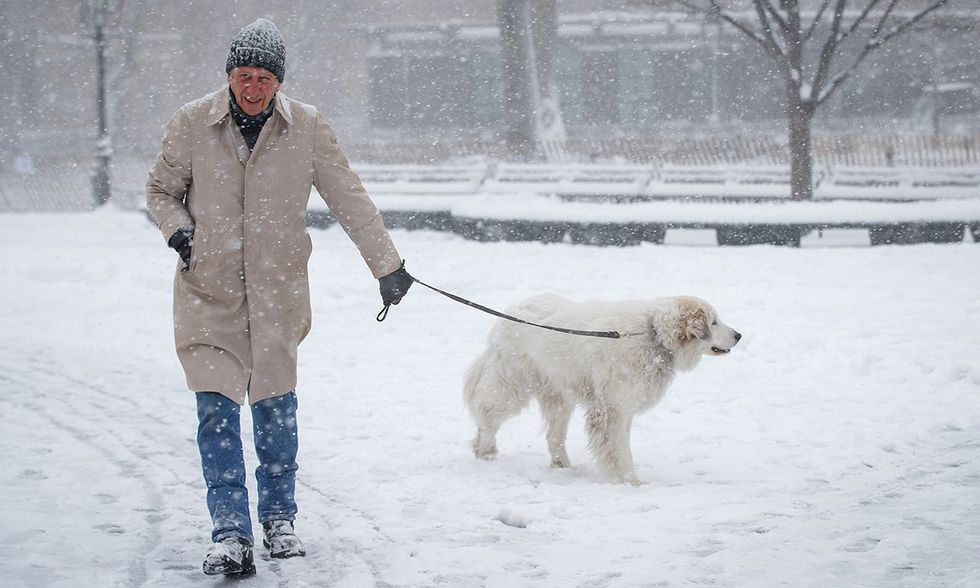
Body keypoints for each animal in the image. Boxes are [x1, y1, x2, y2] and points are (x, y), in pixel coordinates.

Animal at [464, 294, 740, 486]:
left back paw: (563, 466)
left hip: (559, 396)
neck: (652, 335)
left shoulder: (625, 407)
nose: (738, 335)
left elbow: (622, 444)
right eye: (713, 322)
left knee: (554, 436)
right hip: (512, 385)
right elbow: (620, 448)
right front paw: (632, 481)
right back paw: (485, 452)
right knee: (487, 415)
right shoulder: (613, 408)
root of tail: (511, 311)